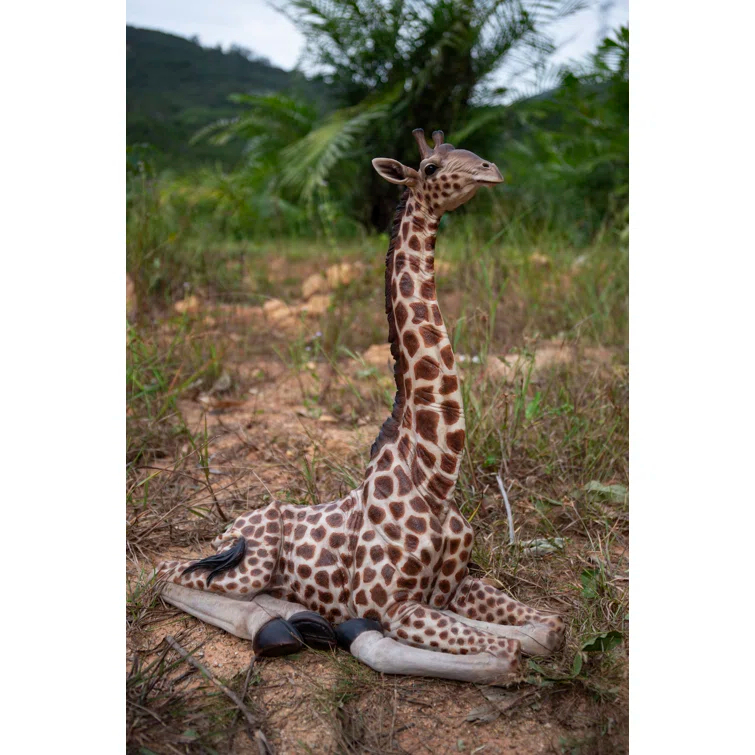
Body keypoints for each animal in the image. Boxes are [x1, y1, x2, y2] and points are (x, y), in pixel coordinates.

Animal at [155, 129, 565, 684]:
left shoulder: (457, 586)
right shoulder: (391, 605)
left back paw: (300, 619)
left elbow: (548, 628)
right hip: (245, 563)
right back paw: (281, 628)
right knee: (166, 572)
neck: (435, 478)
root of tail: (231, 525)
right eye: (430, 167)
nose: (491, 170)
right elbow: (502, 653)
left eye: (468, 152)